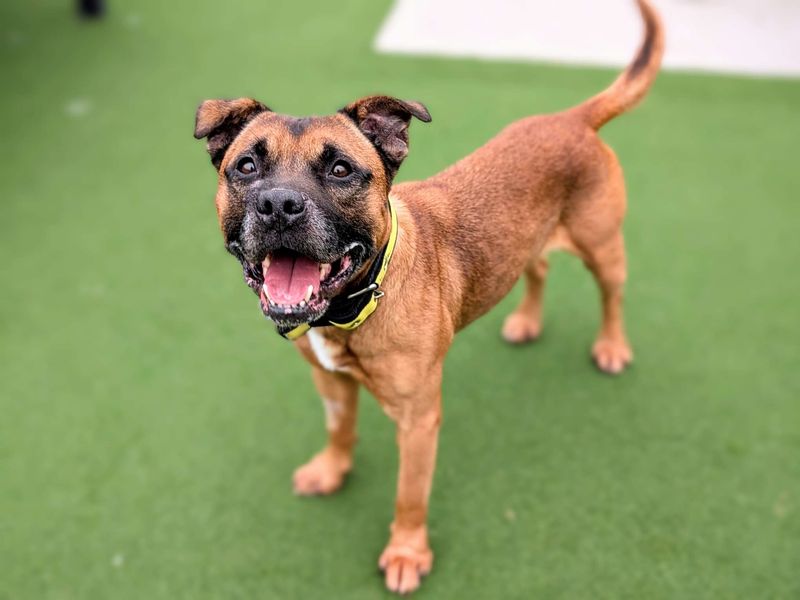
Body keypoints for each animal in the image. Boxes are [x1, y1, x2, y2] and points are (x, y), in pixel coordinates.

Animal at [192, 0, 664, 592]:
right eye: (247, 166)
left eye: (341, 169)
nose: (278, 206)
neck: (351, 307)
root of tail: (570, 119)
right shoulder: (329, 382)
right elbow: (340, 430)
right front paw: (331, 469)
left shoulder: (418, 421)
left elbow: (409, 496)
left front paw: (407, 553)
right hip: (524, 242)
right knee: (537, 268)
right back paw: (527, 321)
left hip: (603, 248)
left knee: (612, 296)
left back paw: (612, 346)